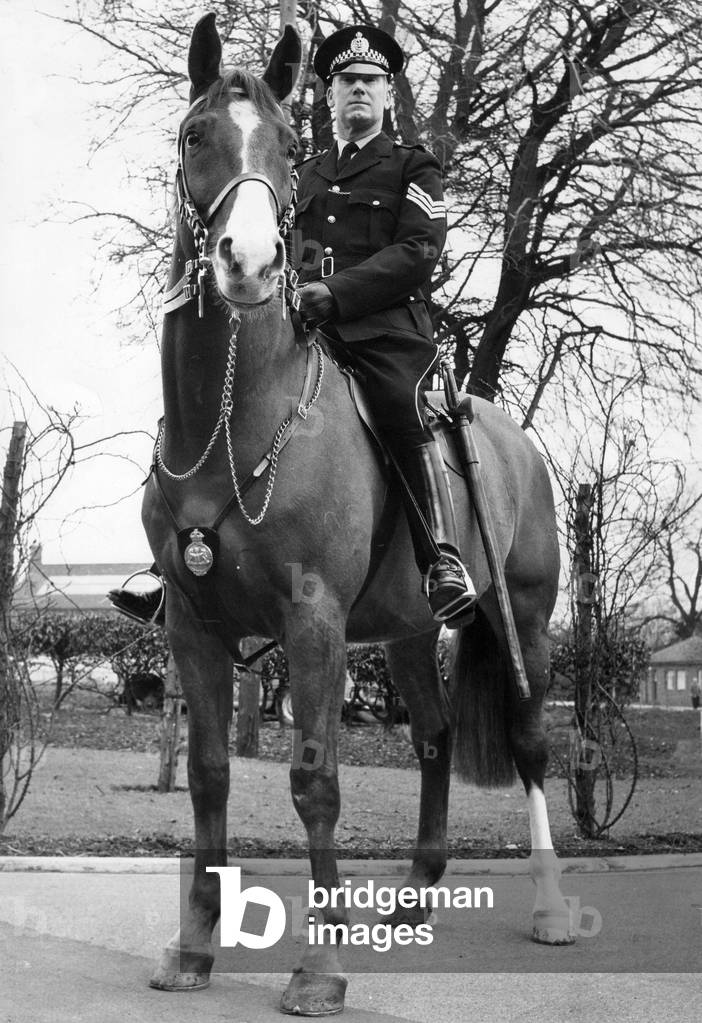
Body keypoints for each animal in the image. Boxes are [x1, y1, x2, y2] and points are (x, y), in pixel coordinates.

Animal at [143, 13, 575, 1015]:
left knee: (532, 743)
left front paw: (320, 963)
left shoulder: (315, 619)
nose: (251, 264)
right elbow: (211, 774)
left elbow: (315, 778)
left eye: (287, 145)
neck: (231, 420)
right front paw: (196, 946)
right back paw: (412, 900)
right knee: (434, 737)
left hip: (524, 617)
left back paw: (551, 907)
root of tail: (513, 437)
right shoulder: (193, 624)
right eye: (195, 135)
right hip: (412, 629)